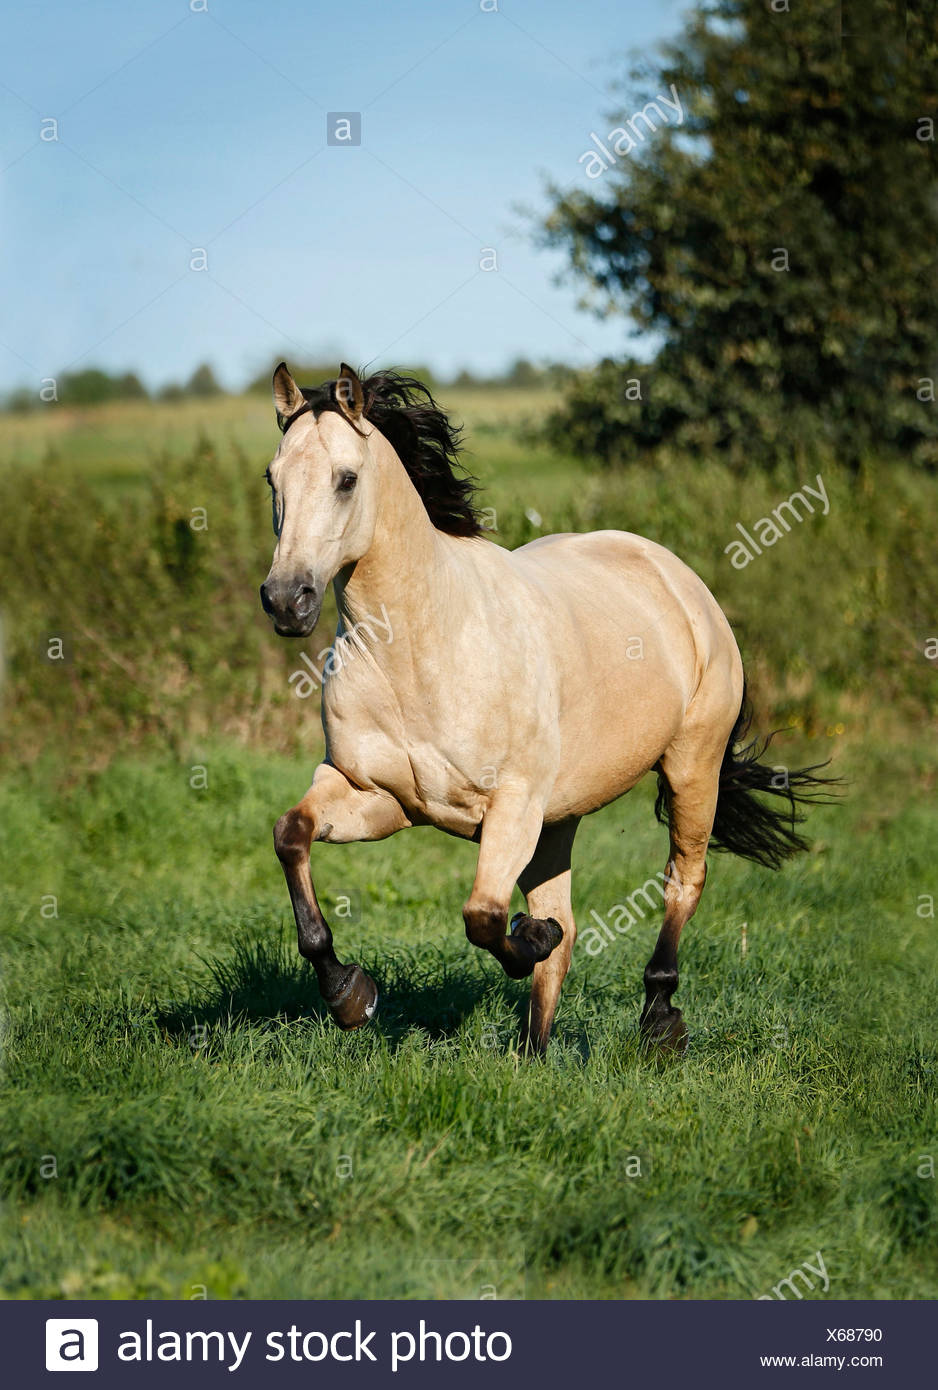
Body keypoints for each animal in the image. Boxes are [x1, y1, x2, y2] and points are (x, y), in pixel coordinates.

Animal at [259, 362, 831, 1055]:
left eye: (346, 478)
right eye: (273, 480)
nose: (286, 599)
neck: (419, 651)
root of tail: (678, 578)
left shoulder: (512, 805)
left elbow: (483, 916)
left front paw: (526, 939)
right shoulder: (378, 796)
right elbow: (292, 834)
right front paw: (350, 995)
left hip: (690, 766)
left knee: (682, 881)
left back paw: (659, 1017)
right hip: (561, 816)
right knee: (568, 924)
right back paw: (534, 1051)